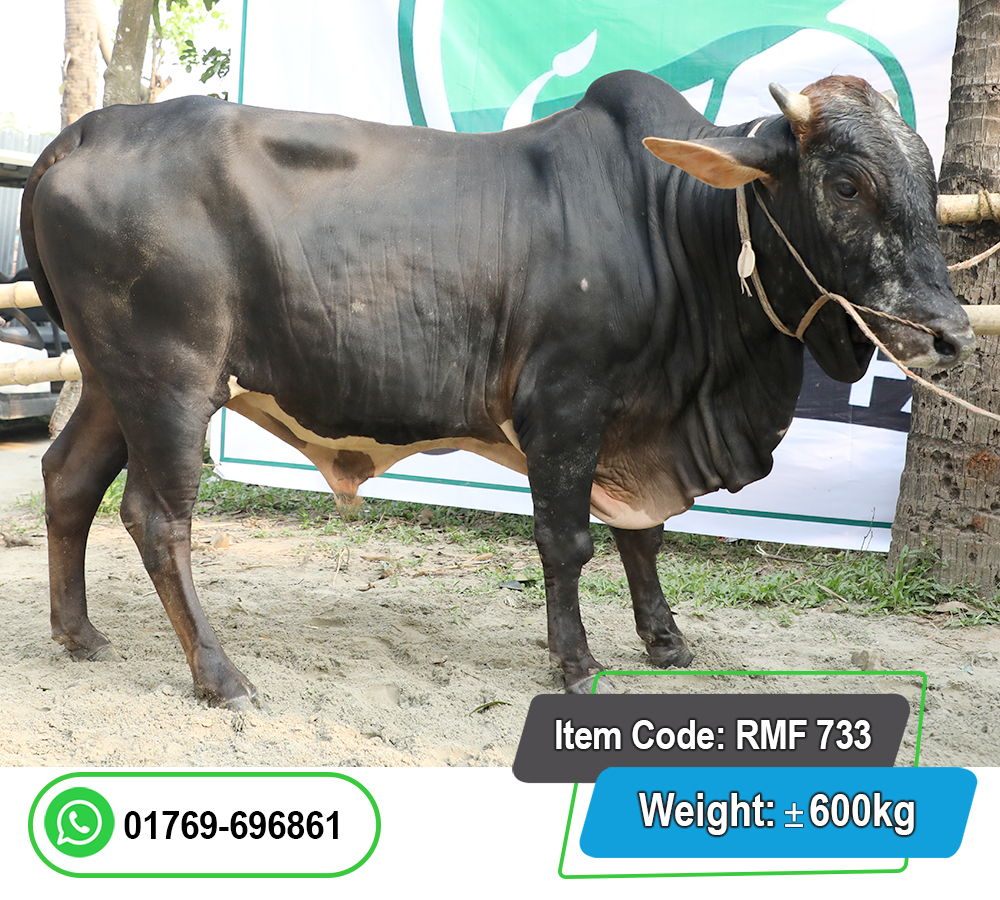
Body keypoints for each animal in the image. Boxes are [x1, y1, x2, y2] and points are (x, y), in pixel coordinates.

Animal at [21, 70, 973, 707]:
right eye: (845, 182)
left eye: (931, 184)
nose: (951, 335)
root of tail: (91, 130)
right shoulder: (565, 407)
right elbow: (568, 542)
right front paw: (576, 661)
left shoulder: (635, 422)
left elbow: (644, 537)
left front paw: (665, 639)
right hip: (172, 376)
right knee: (157, 517)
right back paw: (220, 676)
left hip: (113, 379)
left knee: (68, 479)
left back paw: (79, 634)